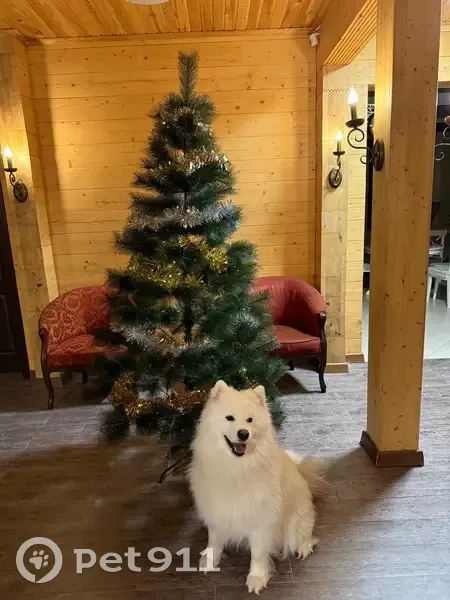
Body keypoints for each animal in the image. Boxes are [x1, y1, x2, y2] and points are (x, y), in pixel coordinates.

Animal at [189, 380, 325, 594]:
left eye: (250, 420)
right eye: (229, 417)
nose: (244, 433)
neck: (237, 469)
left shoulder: (262, 521)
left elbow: (258, 555)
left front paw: (257, 578)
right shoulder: (216, 510)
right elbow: (214, 539)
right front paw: (210, 559)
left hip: (297, 522)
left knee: (305, 535)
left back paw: (303, 548)